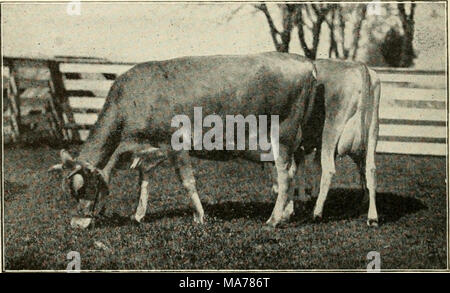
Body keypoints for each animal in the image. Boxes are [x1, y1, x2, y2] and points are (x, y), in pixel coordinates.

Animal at [48, 52, 316, 228]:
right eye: (69, 192)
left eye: (83, 188)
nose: (76, 223)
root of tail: (303, 61)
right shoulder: (151, 149)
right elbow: (143, 180)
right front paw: (138, 214)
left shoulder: (174, 143)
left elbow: (187, 182)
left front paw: (200, 216)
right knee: (292, 173)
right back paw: (286, 213)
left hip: (283, 136)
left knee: (285, 176)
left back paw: (273, 219)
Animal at [270, 57, 380, 226]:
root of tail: (359, 66)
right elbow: (310, 167)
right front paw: (305, 198)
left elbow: (295, 170)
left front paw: (290, 208)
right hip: (372, 131)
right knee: (370, 169)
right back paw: (372, 215)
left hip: (331, 130)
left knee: (329, 170)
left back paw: (317, 212)